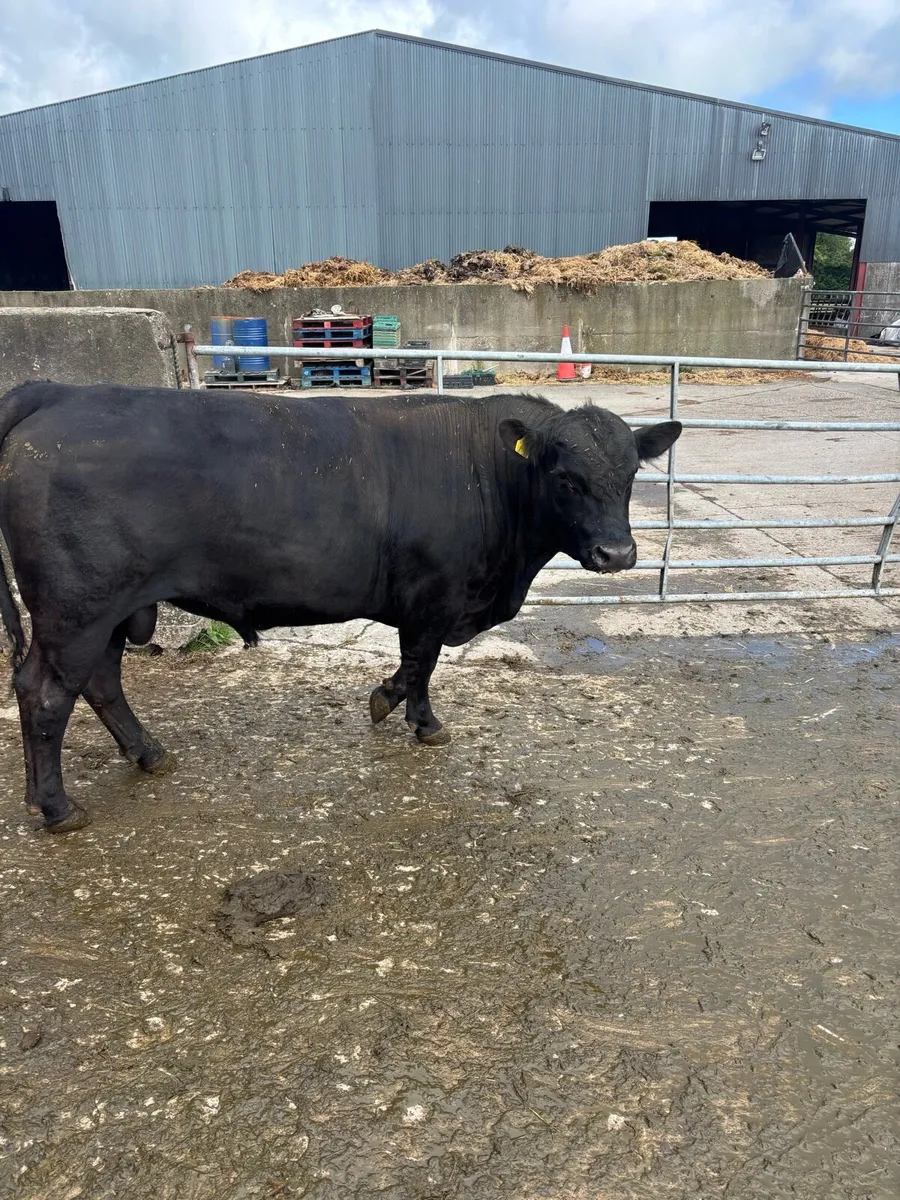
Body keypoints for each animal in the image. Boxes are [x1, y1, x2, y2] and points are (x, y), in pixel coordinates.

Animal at [0, 381, 680, 833]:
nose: (617, 554)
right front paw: (416, 718)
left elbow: (413, 664)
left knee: (100, 682)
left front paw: (392, 703)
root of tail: (60, 392)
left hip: (109, 610)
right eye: (567, 479)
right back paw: (57, 808)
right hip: (78, 609)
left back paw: (146, 754)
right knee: (45, 692)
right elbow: (421, 663)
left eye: (630, 477)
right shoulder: (433, 597)